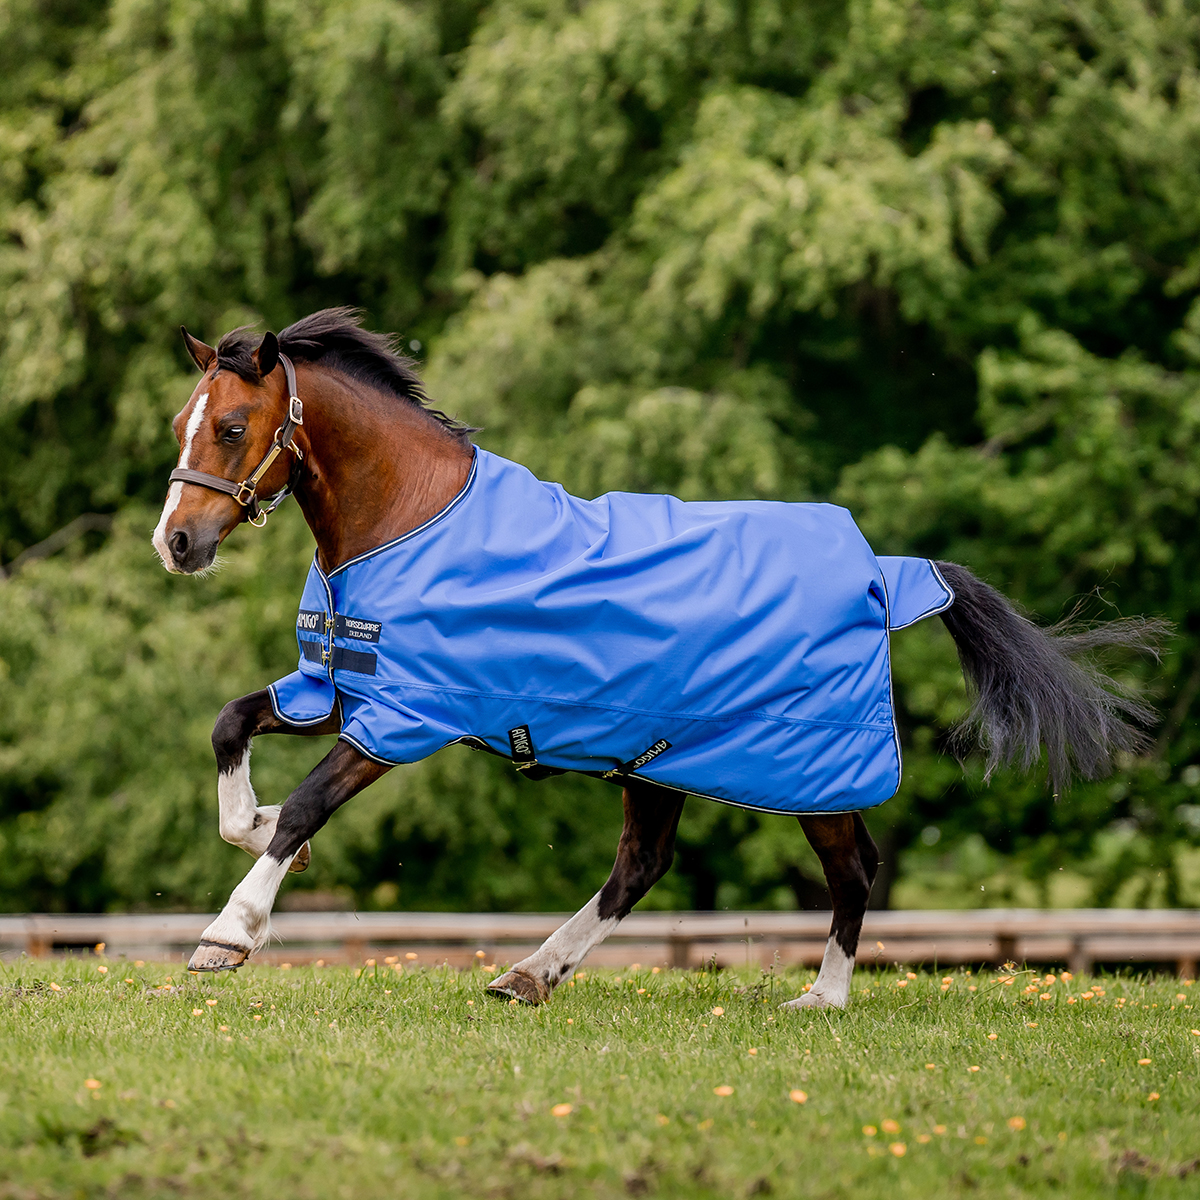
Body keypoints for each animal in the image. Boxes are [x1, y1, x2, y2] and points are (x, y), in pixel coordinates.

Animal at [152, 308, 1161, 1009]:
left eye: (233, 428)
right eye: (179, 425)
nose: (178, 543)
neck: (409, 517)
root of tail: (881, 568)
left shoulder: (410, 715)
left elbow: (307, 804)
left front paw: (229, 933)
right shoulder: (337, 687)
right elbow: (229, 730)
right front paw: (263, 831)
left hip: (801, 766)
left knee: (850, 868)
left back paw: (821, 996)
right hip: (656, 757)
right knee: (642, 865)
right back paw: (530, 975)